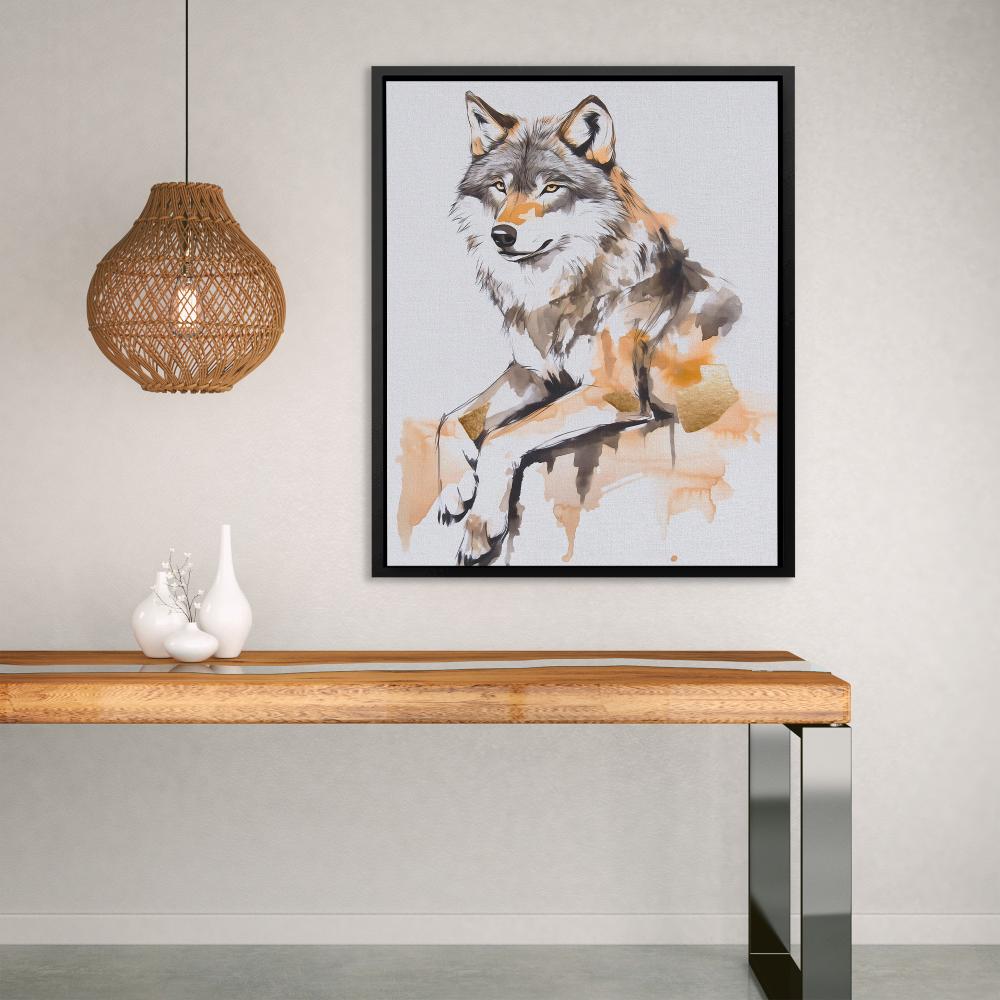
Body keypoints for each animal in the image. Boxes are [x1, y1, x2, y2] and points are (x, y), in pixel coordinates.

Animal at [438, 91, 743, 566]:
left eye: (550, 188)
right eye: (500, 187)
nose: (501, 234)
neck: (559, 292)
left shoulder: (613, 391)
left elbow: (502, 437)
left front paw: (480, 525)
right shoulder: (533, 375)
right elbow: (450, 418)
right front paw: (456, 484)